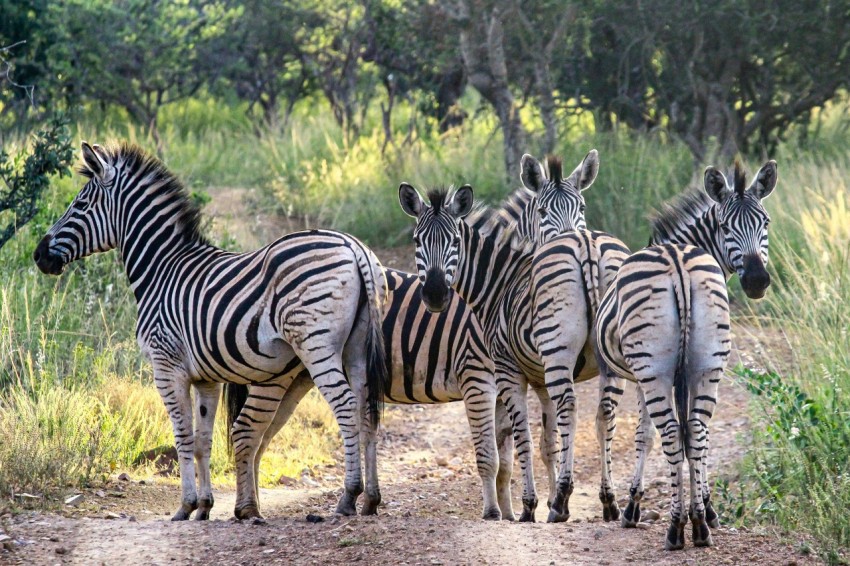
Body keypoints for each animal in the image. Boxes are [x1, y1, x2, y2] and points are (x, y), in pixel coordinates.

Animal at [32, 143, 390, 524]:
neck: (161, 269)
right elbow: (203, 440)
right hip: (356, 348)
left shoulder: (166, 365)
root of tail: (354, 246)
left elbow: (183, 436)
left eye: (79, 205)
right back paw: (371, 499)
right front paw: (204, 505)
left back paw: (348, 496)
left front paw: (186, 505)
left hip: (316, 343)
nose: (38, 255)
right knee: (366, 410)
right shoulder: (207, 377)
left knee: (346, 406)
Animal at [222, 270, 506, 524]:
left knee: (260, 439)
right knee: (249, 431)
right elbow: (491, 454)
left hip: (297, 380)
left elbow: (506, 461)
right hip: (275, 376)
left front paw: (511, 513)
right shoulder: (476, 377)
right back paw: (247, 509)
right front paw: (495, 513)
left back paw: (255, 507)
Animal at [592, 160, 780, 552]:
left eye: (765, 222)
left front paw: (631, 505)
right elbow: (699, 440)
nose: (757, 280)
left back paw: (676, 528)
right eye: (725, 226)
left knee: (669, 431)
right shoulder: (688, 372)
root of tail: (677, 262)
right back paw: (699, 528)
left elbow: (639, 434)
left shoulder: (637, 376)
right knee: (695, 429)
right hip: (708, 365)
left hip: (654, 371)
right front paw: (707, 508)